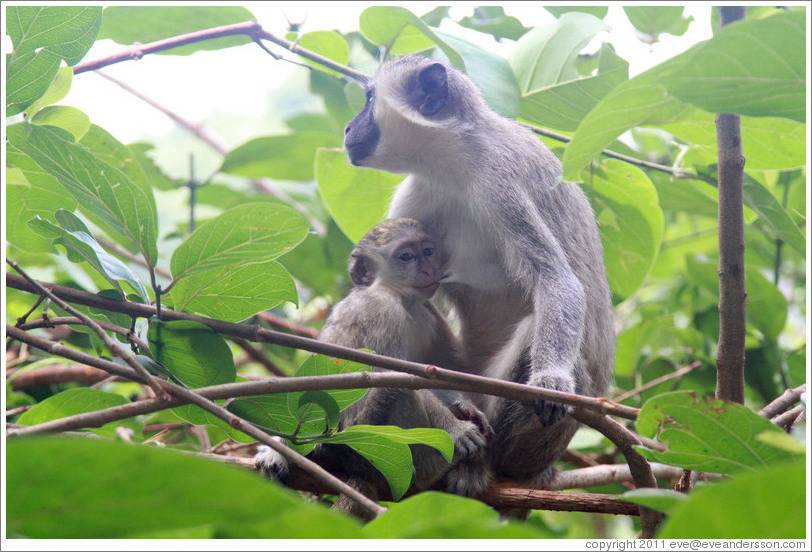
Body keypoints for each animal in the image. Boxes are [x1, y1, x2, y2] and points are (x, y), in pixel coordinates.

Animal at [256, 219, 492, 516]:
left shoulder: (427, 312)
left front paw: (464, 405)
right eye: (406, 256)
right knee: (395, 394)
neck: (397, 296)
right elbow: (394, 377)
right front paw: (455, 427)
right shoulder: (383, 313)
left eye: (428, 251)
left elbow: (431, 373)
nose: (429, 269)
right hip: (371, 449)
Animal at [344, 56, 616, 488]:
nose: (348, 128)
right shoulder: (417, 193)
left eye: (369, 99)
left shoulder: (499, 182)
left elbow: (556, 279)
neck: (455, 162)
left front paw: (551, 380)